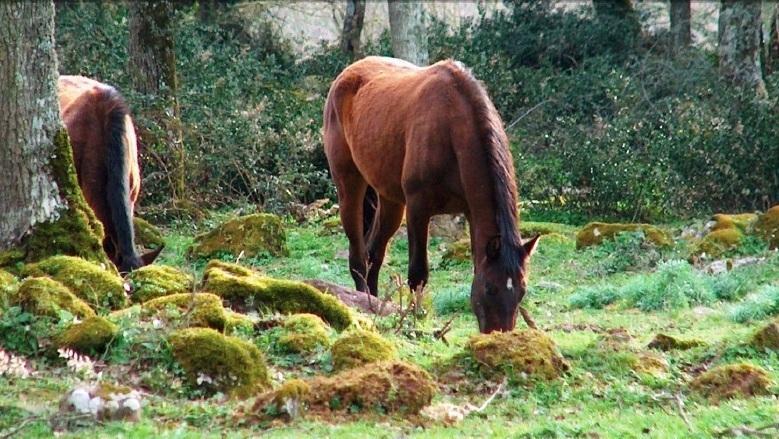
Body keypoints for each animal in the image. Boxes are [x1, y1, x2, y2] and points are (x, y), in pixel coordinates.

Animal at [323, 56, 539, 334]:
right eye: (490, 288)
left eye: (522, 291)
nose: (498, 335)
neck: (450, 128)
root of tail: (347, 74)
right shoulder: (418, 209)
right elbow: (418, 273)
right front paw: (417, 317)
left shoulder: (471, 212)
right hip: (350, 187)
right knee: (358, 258)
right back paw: (362, 302)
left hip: (390, 201)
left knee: (374, 254)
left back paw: (375, 306)